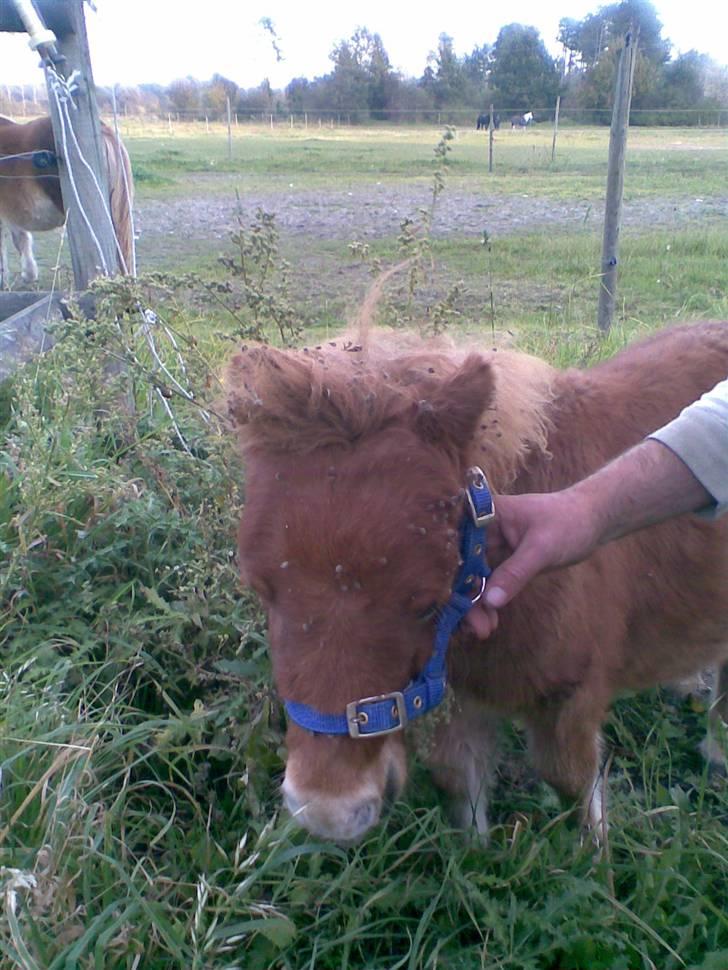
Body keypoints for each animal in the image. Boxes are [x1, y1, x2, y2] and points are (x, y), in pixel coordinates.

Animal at [226, 322, 728, 844]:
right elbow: (460, 787)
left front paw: (596, 859)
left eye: (427, 603)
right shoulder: (459, 699)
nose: (329, 810)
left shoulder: (571, 696)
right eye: (260, 588)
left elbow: (571, 787)